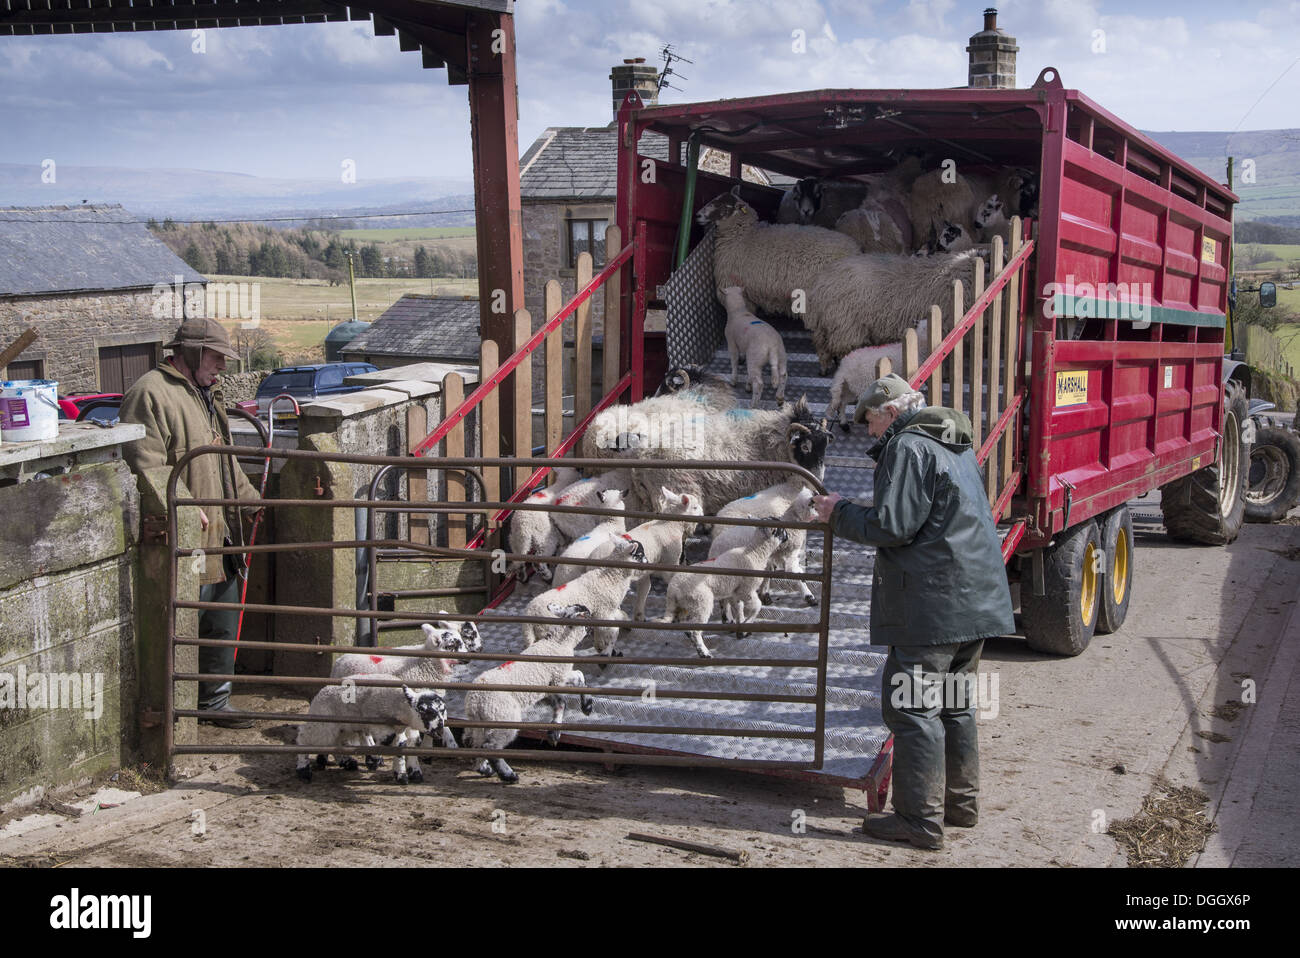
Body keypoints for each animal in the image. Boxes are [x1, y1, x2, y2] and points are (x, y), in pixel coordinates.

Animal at [297, 681, 449, 785]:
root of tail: (321, 692)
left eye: (443, 710)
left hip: (342, 727)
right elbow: (388, 739)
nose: (440, 729)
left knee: (337, 742)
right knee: (304, 737)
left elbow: (405, 744)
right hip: (323, 724)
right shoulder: (376, 721)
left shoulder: (403, 729)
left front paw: (406, 773)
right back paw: (303, 770)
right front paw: (375, 758)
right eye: (423, 710)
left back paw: (347, 762)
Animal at [462, 597, 595, 785]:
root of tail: (475, 701)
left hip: (481, 721)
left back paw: (484, 768)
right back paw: (508, 775)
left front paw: (554, 732)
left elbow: (560, 703)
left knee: (472, 742)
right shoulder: (559, 676)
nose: (594, 627)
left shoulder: (549, 685)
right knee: (490, 746)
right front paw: (587, 706)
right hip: (504, 717)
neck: (557, 641)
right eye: (586, 612)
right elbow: (579, 677)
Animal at [665, 522, 785, 657]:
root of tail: (673, 589)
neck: (754, 553)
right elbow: (756, 606)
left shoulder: (735, 592)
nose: (787, 537)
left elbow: (738, 608)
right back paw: (705, 653)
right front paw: (745, 626)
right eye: (781, 530)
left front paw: (741, 628)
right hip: (701, 602)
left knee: (687, 628)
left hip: (686, 605)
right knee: (694, 631)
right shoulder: (746, 589)